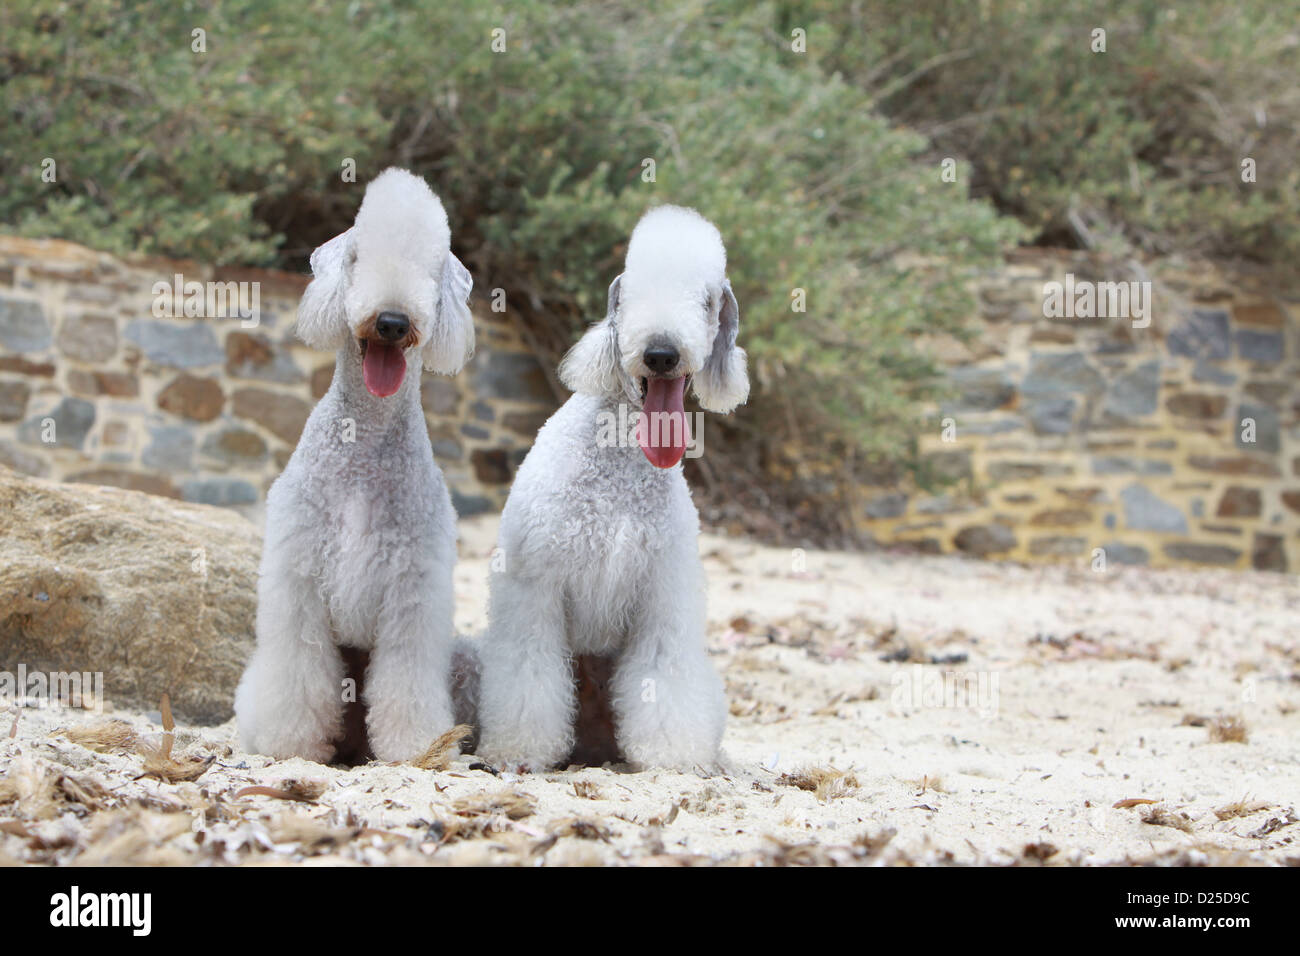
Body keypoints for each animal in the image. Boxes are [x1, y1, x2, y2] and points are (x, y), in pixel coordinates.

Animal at [236, 164, 475, 764]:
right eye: (357, 257)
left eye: (431, 268)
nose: (391, 321)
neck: (364, 443)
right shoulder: (299, 577)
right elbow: (297, 672)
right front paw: (290, 742)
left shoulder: (413, 589)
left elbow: (407, 678)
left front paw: (415, 746)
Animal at [478, 205, 748, 775]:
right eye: (630, 295)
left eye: (706, 300)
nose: (661, 353)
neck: (620, 460)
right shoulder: (535, 587)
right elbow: (528, 671)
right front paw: (518, 751)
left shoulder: (662, 595)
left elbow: (665, 676)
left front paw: (673, 756)